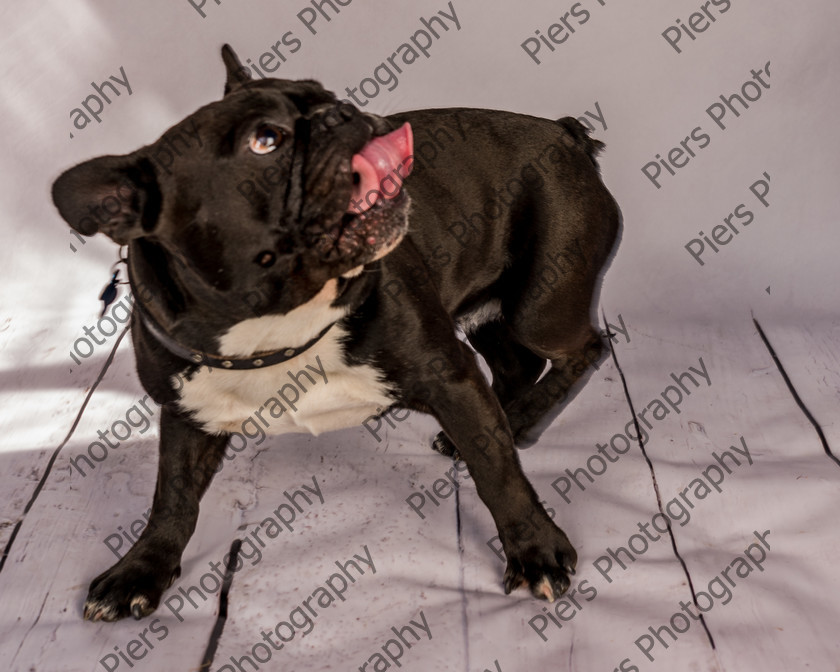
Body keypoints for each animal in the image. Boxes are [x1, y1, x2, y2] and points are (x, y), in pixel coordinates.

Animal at [50, 44, 616, 624]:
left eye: (321, 91)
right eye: (265, 140)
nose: (338, 112)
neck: (276, 323)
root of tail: (563, 132)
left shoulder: (448, 375)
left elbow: (497, 469)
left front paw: (535, 551)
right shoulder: (187, 412)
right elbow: (172, 496)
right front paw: (140, 570)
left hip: (542, 301)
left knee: (584, 348)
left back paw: (519, 420)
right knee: (515, 363)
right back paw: (505, 417)